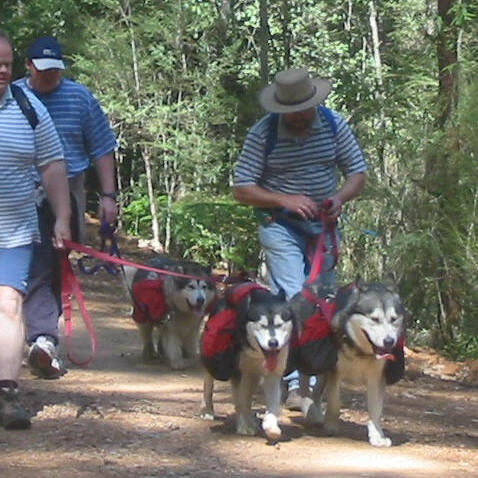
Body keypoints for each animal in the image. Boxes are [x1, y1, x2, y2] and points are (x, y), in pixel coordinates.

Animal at [200, 288, 290, 440]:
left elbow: (271, 402)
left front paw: (271, 426)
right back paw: (208, 410)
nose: (273, 343)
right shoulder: (239, 373)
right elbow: (241, 402)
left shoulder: (273, 373)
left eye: (279, 325)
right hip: (212, 362)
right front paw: (244, 426)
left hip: (253, 376)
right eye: (262, 325)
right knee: (208, 386)